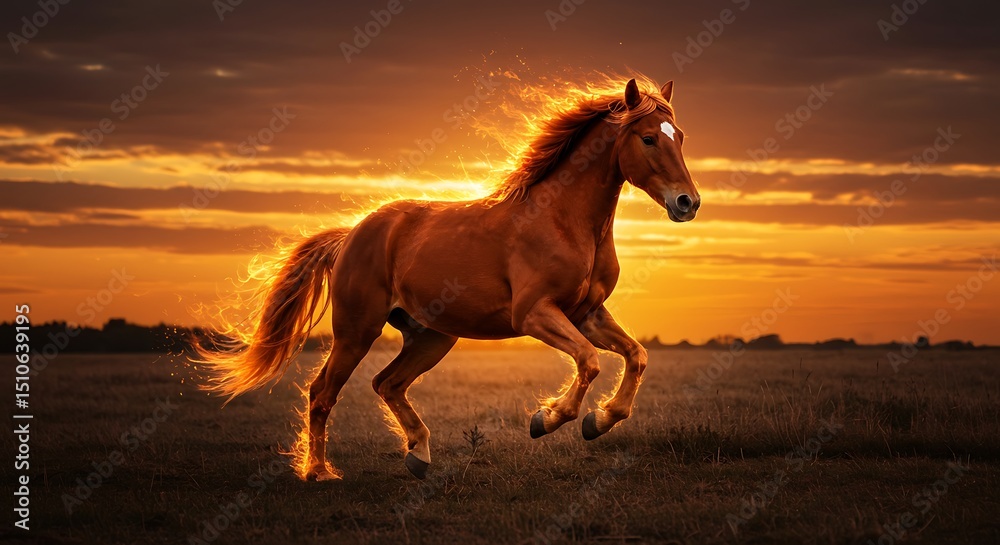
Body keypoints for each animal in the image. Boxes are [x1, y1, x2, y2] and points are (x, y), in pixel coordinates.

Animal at [195, 75, 701, 481]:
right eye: (649, 138)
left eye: (680, 137)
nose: (687, 203)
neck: (563, 220)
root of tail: (352, 234)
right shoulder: (534, 314)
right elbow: (590, 361)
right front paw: (547, 418)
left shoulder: (587, 313)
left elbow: (636, 356)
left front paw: (600, 421)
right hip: (357, 330)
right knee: (323, 393)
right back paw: (319, 473)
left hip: (432, 336)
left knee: (387, 384)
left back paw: (418, 455)